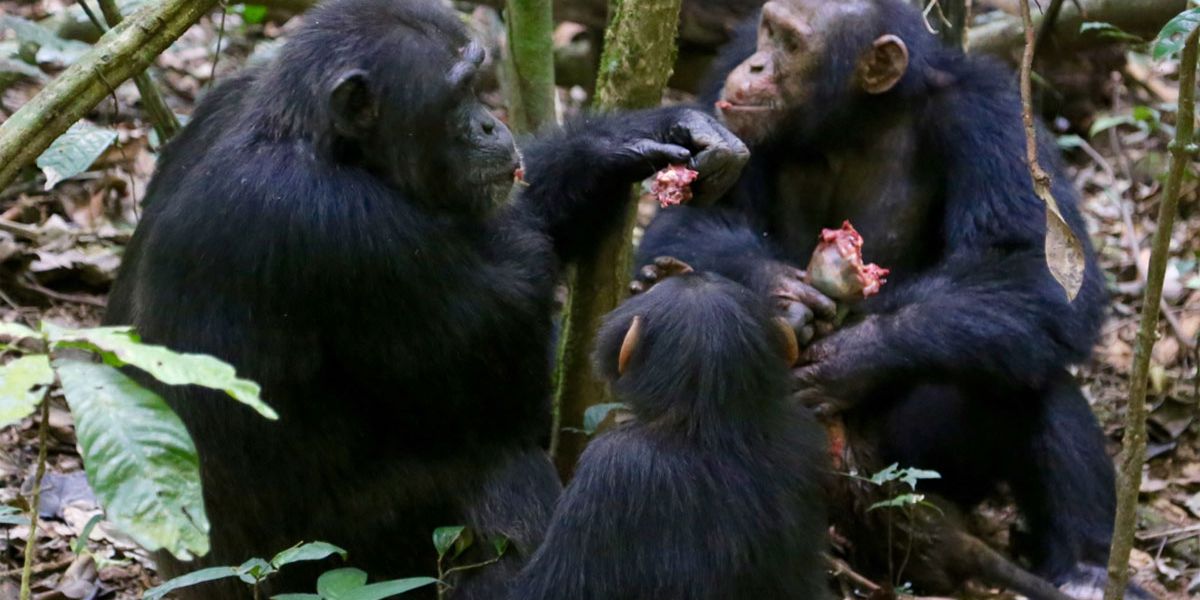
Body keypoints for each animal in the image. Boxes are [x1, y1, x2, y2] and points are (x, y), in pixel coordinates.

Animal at [103, 0, 744, 595]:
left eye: (479, 84)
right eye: (459, 93)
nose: (489, 124)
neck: (317, 140)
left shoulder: (221, 99)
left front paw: (640, 138)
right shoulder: (347, 230)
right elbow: (501, 373)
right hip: (329, 563)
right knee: (499, 470)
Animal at [633, 0, 1128, 597]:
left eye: (790, 45)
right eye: (767, 31)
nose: (755, 66)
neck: (854, 121)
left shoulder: (993, 115)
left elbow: (1039, 267)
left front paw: (851, 355)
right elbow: (689, 219)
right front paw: (781, 294)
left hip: (927, 471)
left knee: (1033, 372)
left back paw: (1087, 567)